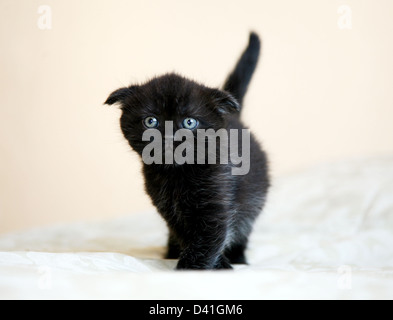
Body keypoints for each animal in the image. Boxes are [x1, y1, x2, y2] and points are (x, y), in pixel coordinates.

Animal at [104, 32, 270, 268]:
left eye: (189, 122)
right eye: (151, 121)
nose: (170, 137)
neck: (176, 174)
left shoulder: (217, 203)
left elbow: (209, 237)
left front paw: (194, 268)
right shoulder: (169, 209)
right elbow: (188, 235)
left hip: (253, 199)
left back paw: (238, 258)